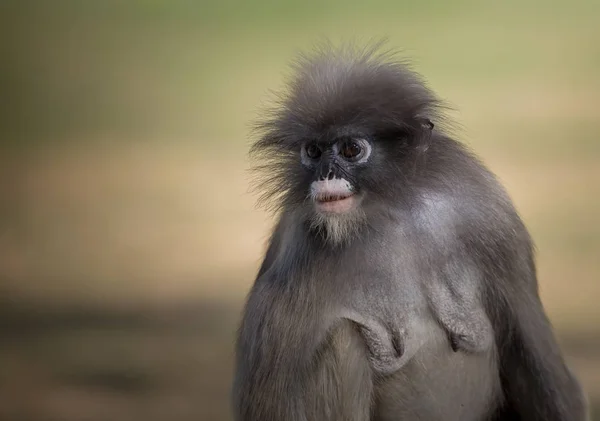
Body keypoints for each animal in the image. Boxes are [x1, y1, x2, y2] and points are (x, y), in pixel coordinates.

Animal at [231, 41, 584, 420]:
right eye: (312, 151)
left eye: (350, 149)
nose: (324, 174)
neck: (386, 212)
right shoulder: (297, 249)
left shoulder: (485, 213)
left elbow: (528, 339)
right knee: (342, 340)